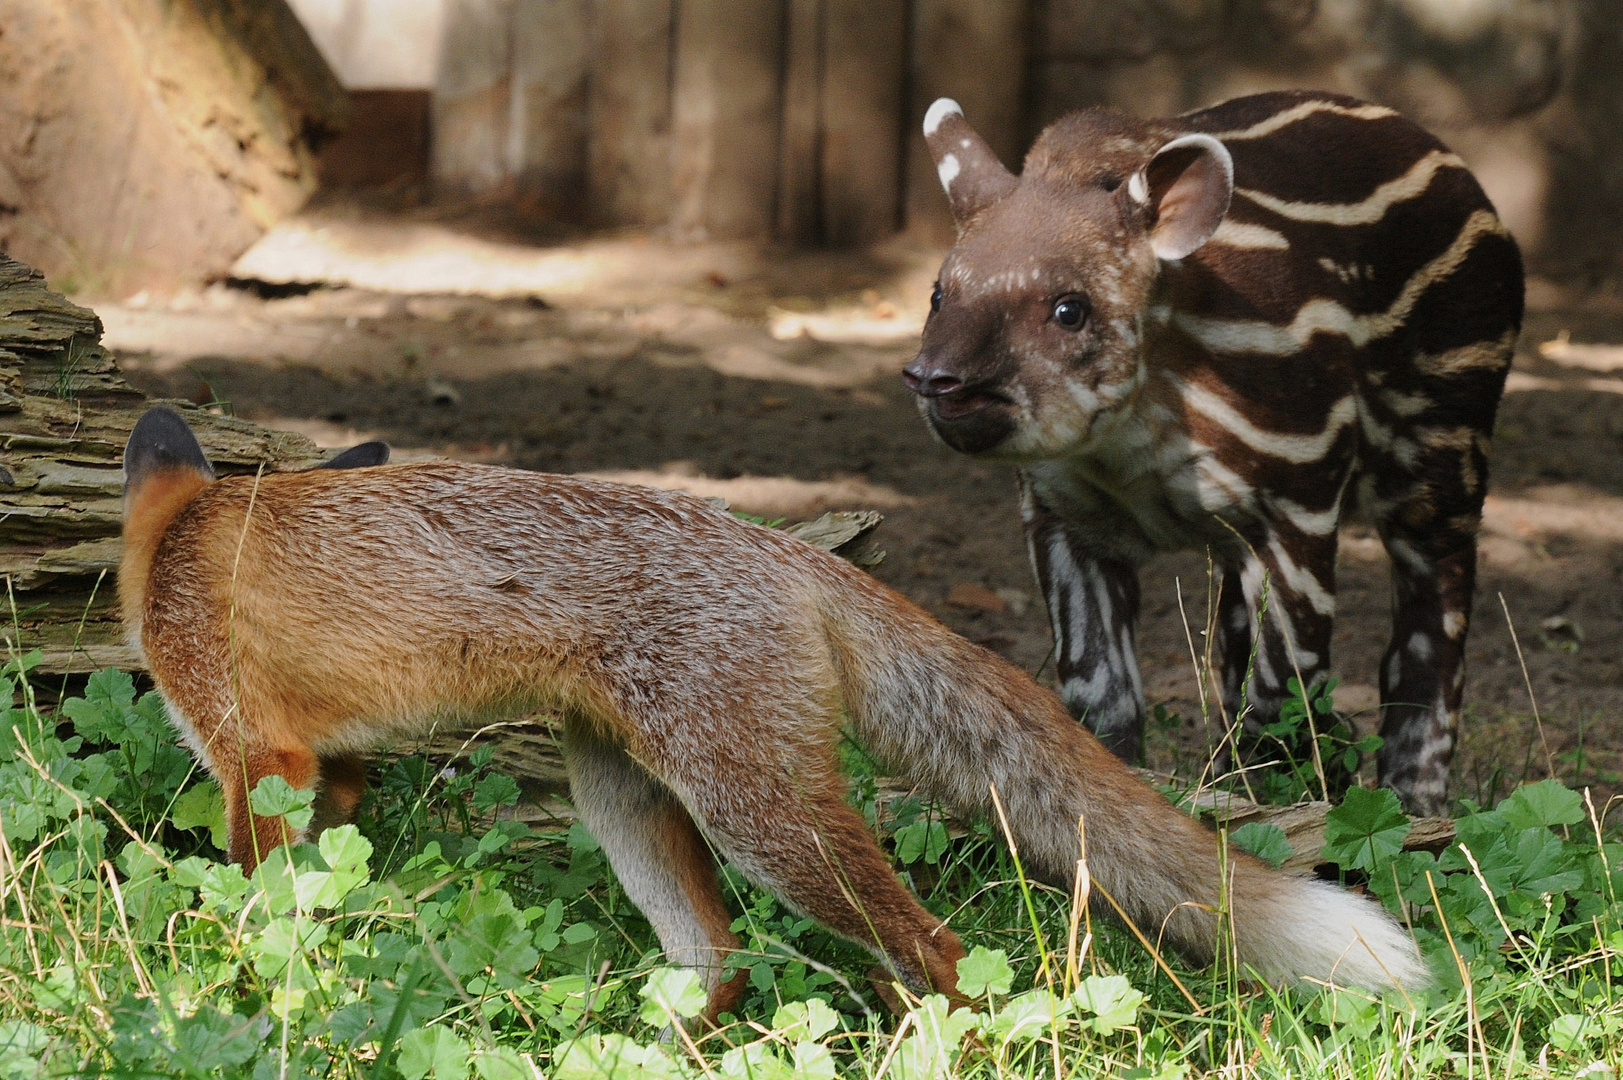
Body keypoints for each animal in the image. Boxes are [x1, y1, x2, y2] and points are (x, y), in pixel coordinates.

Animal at [123, 406, 1421, 1019]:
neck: (185, 534)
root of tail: (780, 549)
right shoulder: (328, 766)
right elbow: (326, 875)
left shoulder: (255, 748)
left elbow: (253, 897)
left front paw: (243, 983)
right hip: (626, 793)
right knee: (727, 959)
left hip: (761, 820)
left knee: (934, 951)